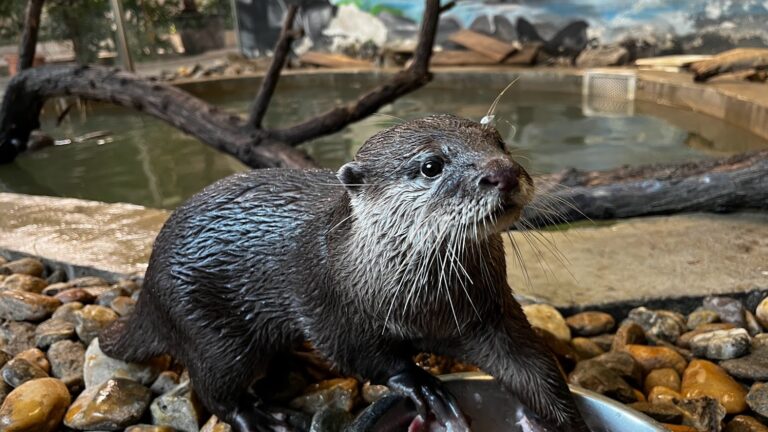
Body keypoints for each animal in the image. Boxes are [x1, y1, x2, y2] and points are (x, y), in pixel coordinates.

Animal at [100, 114, 588, 432]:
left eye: (499, 142)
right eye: (431, 166)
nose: (502, 172)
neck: (424, 306)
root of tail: (148, 285)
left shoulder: (488, 314)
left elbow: (529, 365)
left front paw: (563, 420)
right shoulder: (328, 305)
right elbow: (361, 354)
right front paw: (420, 382)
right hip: (207, 326)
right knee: (215, 386)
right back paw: (261, 417)